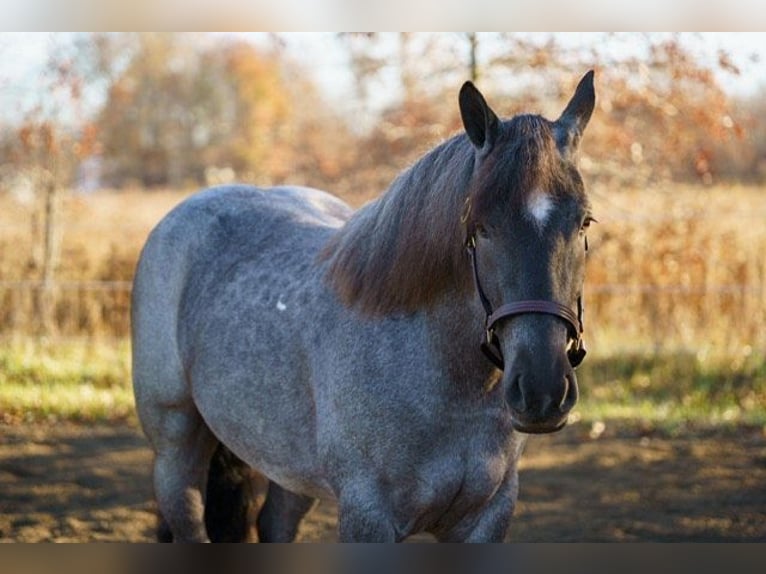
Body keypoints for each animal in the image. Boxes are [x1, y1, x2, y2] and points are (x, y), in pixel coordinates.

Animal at [131, 71, 596, 542]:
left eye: (584, 222)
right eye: (481, 228)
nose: (541, 389)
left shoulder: (487, 517)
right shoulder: (368, 517)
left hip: (290, 466)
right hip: (176, 446)